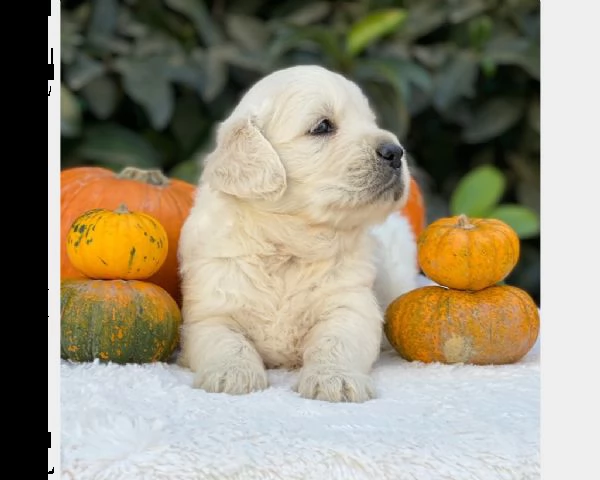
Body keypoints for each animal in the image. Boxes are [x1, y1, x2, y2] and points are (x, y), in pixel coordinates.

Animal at [178, 64, 418, 402]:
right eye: (323, 126)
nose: (396, 152)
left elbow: (335, 342)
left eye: (370, 121)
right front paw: (231, 374)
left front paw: (335, 379)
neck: (289, 245)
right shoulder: (210, 312)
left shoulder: (350, 305)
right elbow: (227, 342)